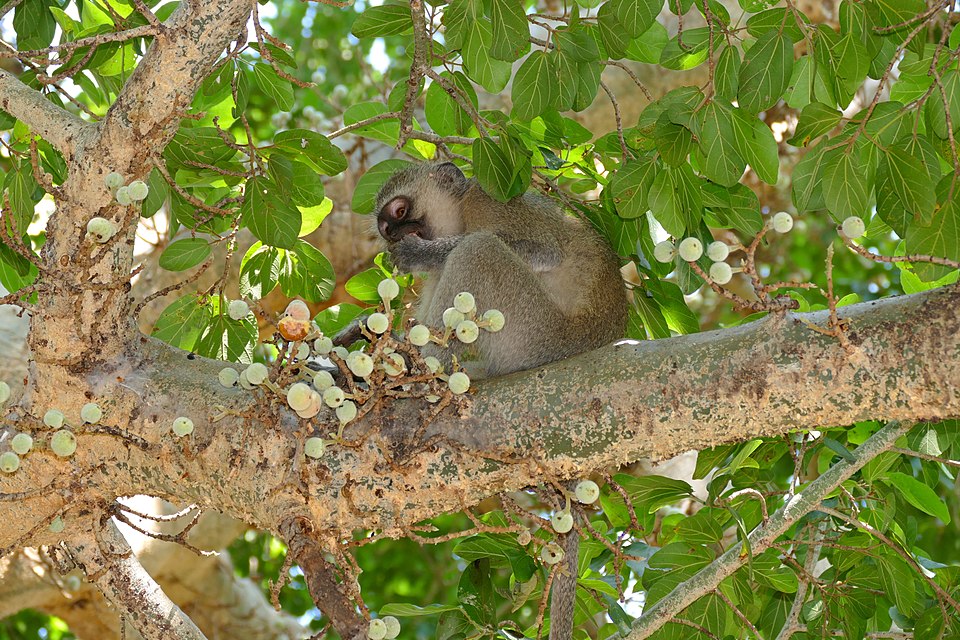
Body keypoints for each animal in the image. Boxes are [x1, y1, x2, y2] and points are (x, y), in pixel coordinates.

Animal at [370, 161, 628, 379]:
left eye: (400, 211)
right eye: (386, 229)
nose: (394, 234)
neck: (462, 214)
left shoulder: (488, 201)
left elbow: (547, 253)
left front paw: (420, 252)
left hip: (538, 337)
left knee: (478, 249)